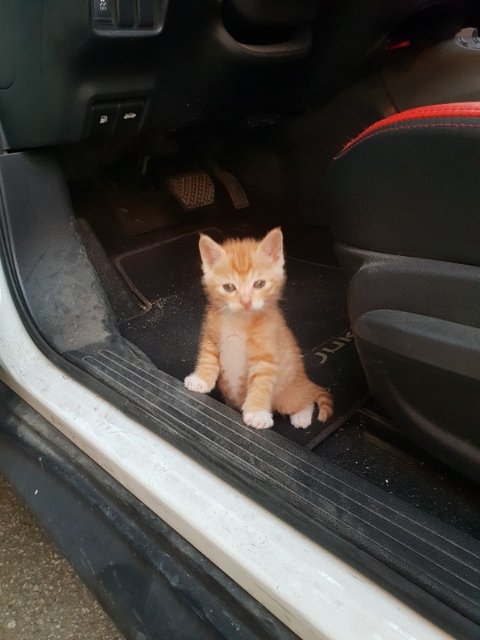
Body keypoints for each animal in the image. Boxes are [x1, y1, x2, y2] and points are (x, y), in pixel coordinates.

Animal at [184, 227, 333, 430]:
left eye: (259, 284)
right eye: (229, 287)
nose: (246, 302)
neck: (239, 320)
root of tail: (304, 380)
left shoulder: (266, 356)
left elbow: (261, 384)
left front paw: (256, 414)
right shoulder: (211, 337)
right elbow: (207, 359)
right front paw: (201, 380)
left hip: (287, 396)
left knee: (305, 399)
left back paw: (301, 416)